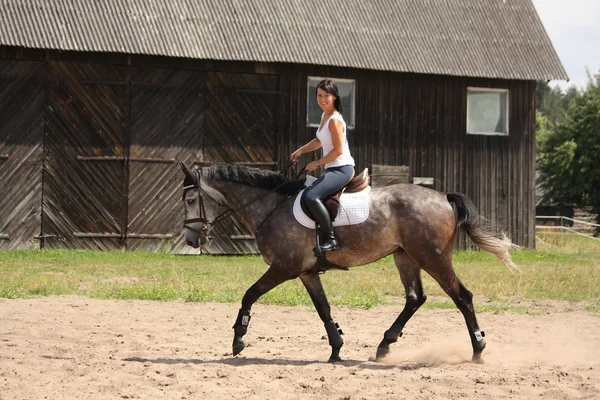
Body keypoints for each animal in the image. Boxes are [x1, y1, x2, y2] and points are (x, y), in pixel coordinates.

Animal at [179, 162, 520, 362]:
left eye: (190, 199)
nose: (191, 240)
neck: (271, 206)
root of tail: (444, 198)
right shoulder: (305, 272)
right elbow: (324, 309)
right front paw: (336, 348)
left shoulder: (283, 268)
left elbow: (249, 294)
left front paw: (238, 339)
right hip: (405, 257)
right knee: (415, 298)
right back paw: (385, 345)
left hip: (432, 258)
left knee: (462, 297)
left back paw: (477, 349)